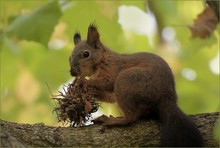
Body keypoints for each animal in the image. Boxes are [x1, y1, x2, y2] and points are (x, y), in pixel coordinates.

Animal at [69, 23, 203, 146]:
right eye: (70, 57)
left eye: (86, 54)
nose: (72, 72)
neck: (103, 58)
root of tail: (166, 98)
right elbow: (110, 97)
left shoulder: (112, 67)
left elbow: (107, 81)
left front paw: (82, 82)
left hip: (126, 81)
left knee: (131, 118)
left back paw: (111, 120)